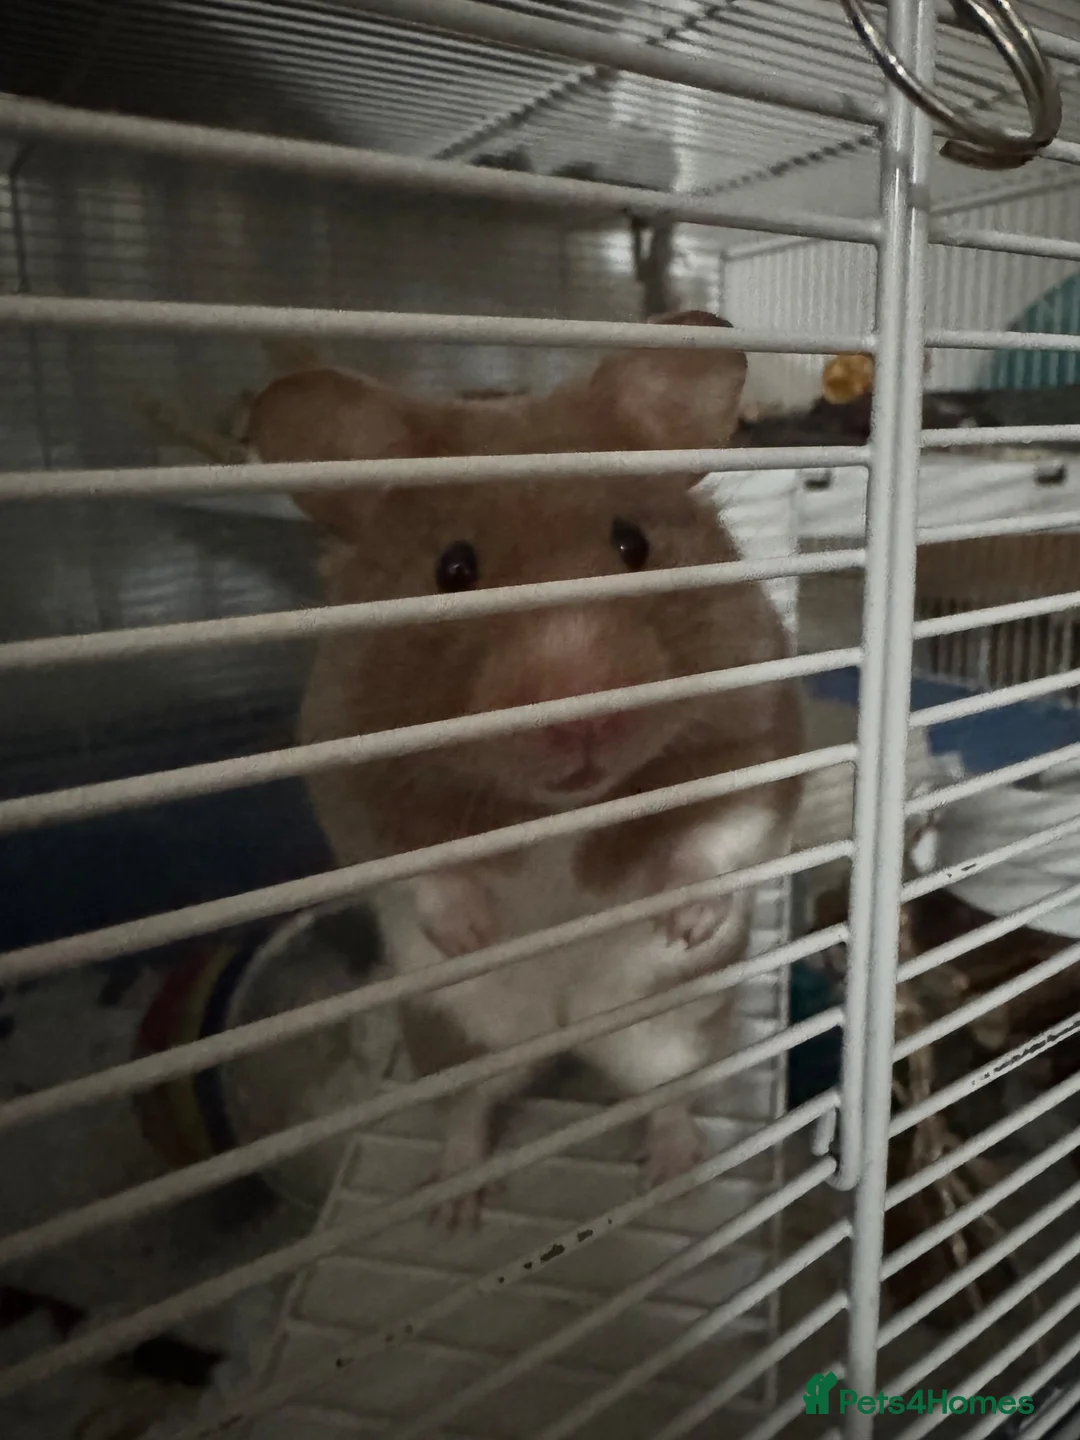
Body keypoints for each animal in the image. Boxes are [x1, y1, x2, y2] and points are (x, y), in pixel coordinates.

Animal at [247, 309, 804, 1229]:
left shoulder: (757, 728)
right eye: (454, 569)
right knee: (468, 1111)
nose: (581, 721)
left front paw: (682, 922)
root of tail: (565, 1032)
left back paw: (672, 1179)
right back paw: (455, 1210)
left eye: (633, 543)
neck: (561, 807)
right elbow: (416, 864)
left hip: (672, 1029)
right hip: (456, 1037)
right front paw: (474, 932)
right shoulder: (350, 772)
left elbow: (724, 827)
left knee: (665, 1096)